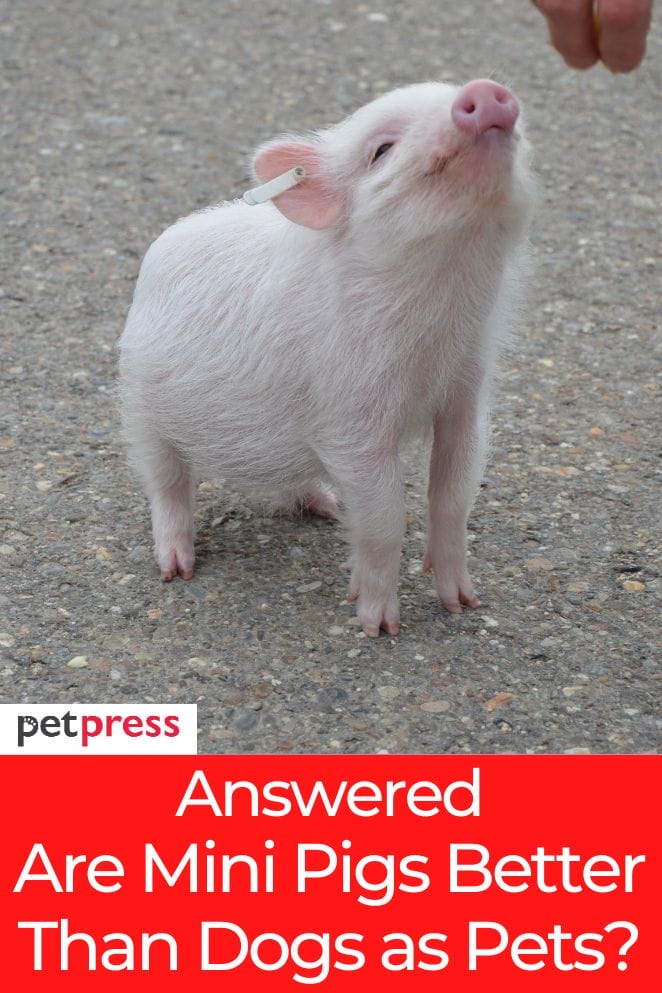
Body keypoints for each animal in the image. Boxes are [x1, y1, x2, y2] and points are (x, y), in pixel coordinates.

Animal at [119, 79, 535, 637]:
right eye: (381, 150)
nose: (484, 91)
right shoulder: (349, 416)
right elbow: (384, 515)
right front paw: (378, 626)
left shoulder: (466, 393)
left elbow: (453, 493)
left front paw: (462, 605)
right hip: (138, 402)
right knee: (164, 482)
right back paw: (176, 569)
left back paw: (329, 505)